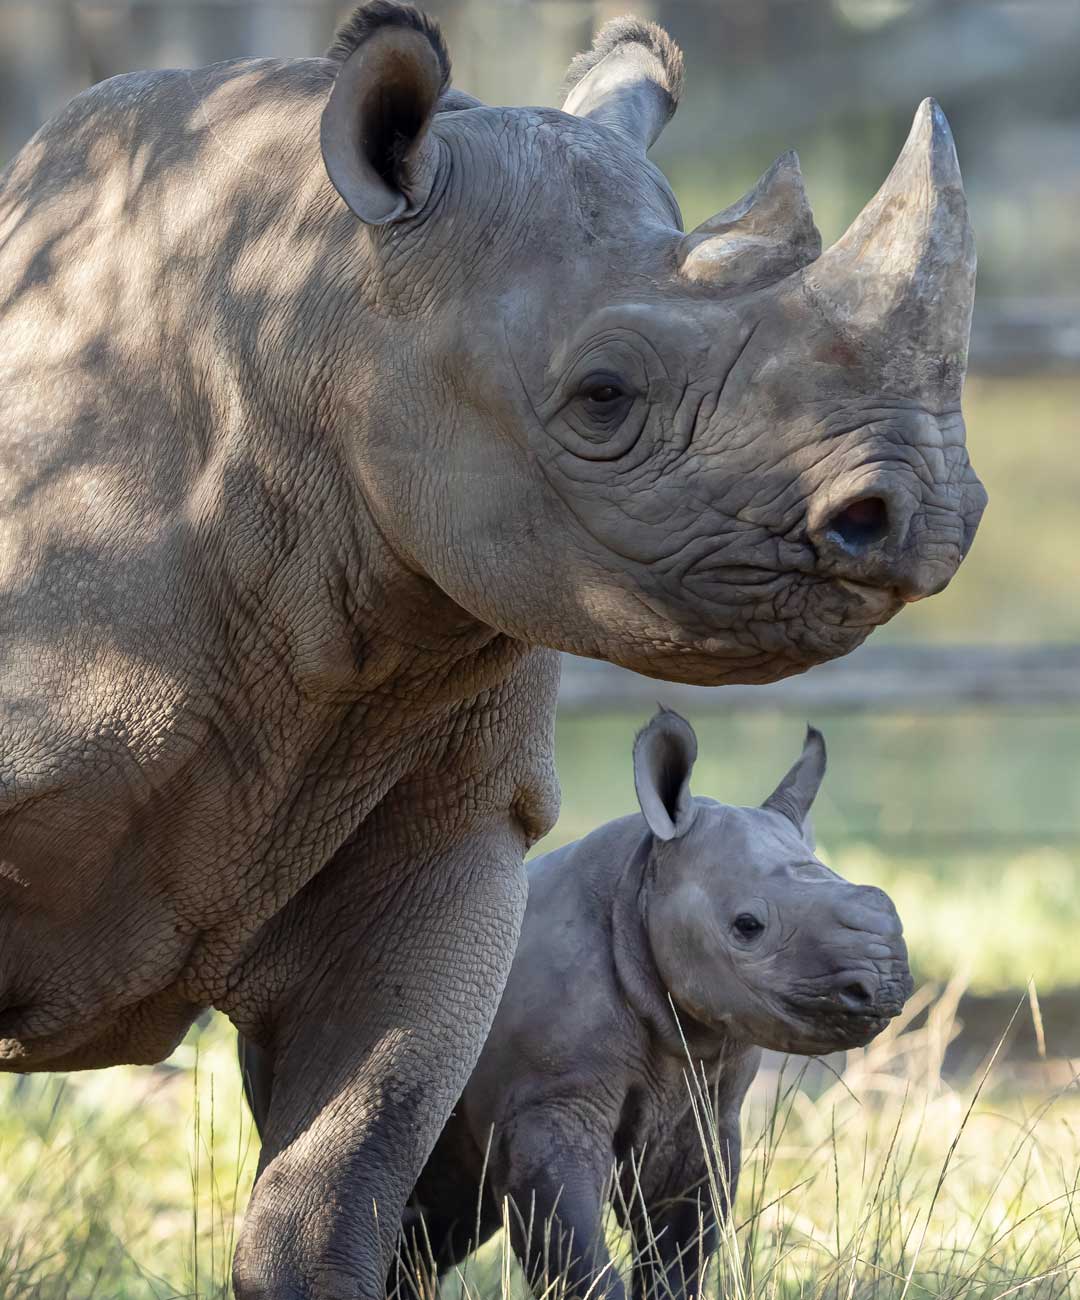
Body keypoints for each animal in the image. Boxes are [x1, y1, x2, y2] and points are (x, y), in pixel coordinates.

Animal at [400, 712, 909, 1300]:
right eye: (748, 926)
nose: (884, 984)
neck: (639, 886)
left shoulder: (703, 1102)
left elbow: (680, 1244)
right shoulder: (547, 1103)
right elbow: (568, 1239)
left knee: (433, 1226)